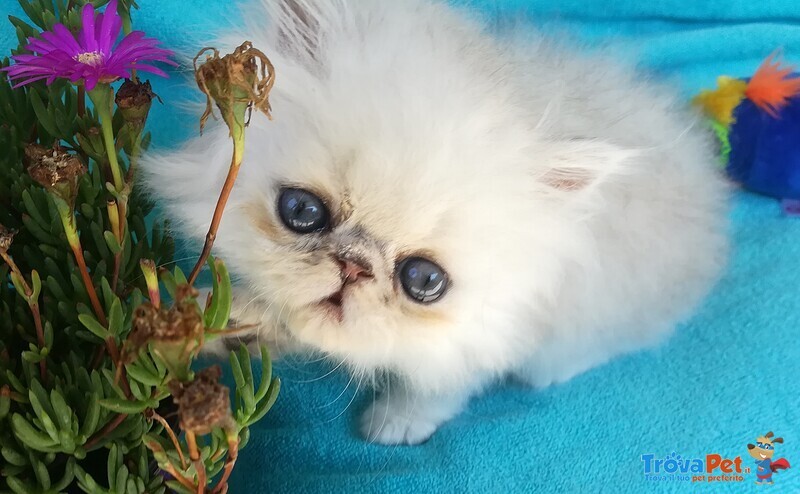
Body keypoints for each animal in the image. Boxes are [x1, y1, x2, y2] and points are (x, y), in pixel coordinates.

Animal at [142, 0, 724, 446]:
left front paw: (395, 424)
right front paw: (215, 318)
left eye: (423, 280)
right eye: (303, 212)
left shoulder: (489, 334)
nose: (353, 268)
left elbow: (437, 388)